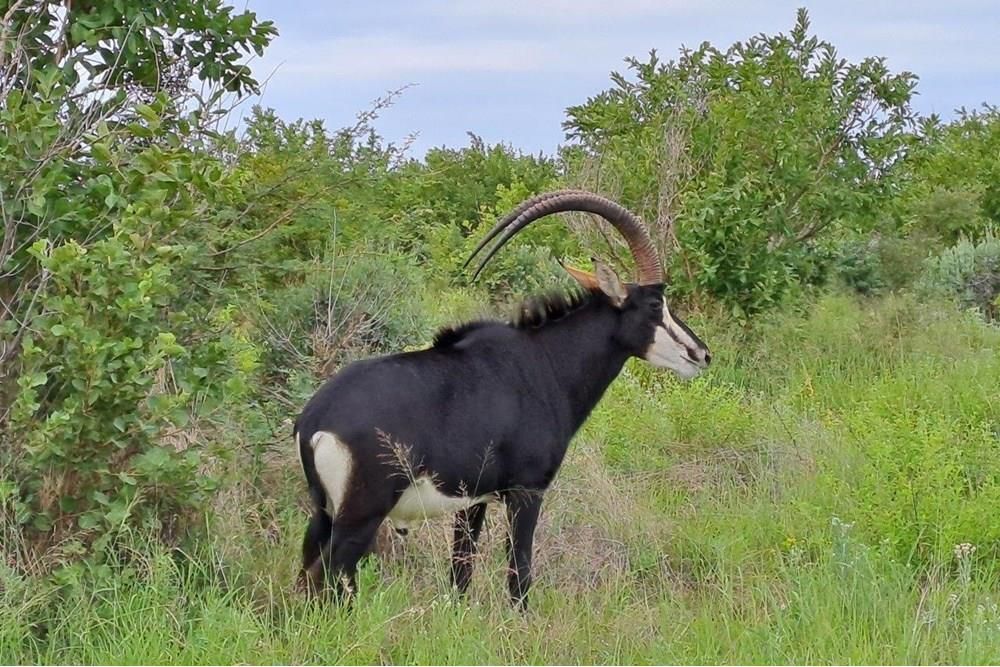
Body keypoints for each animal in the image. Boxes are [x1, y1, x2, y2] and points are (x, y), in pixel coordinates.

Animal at [294, 190, 711, 607]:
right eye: (656, 304)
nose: (702, 354)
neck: (544, 362)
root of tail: (315, 421)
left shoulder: (472, 500)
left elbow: (461, 572)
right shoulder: (527, 491)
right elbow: (519, 572)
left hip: (323, 512)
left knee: (306, 571)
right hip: (361, 516)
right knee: (329, 573)